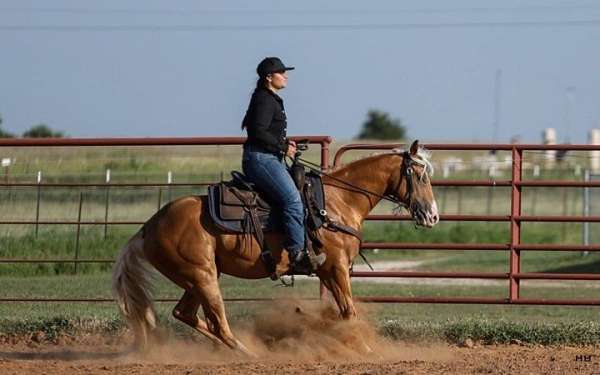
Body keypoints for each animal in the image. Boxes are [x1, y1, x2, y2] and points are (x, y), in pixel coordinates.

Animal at [112, 140, 438, 356]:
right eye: (420, 176)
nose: (433, 215)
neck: (336, 203)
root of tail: (149, 226)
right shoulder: (336, 268)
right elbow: (349, 311)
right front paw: (366, 349)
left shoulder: (327, 271)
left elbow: (342, 311)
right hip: (201, 277)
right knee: (217, 322)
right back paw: (249, 353)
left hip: (199, 278)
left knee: (186, 314)